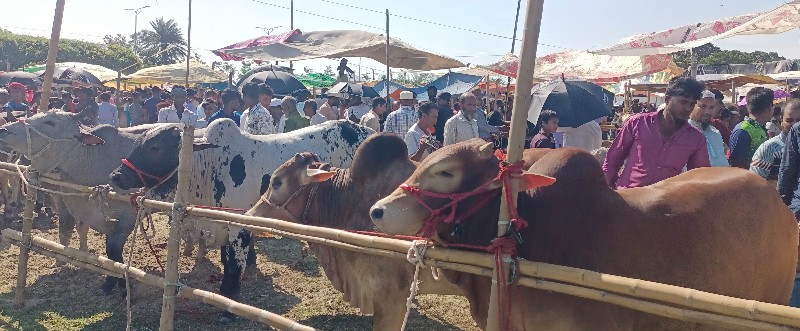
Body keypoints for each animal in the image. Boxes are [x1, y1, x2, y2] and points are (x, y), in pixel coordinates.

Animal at [0, 111, 175, 296]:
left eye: (50, 122)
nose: (4, 130)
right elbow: (110, 256)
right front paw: (109, 283)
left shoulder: (129, 217)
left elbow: (113, 250)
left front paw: (121, 285)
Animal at [108, 120, 374, 324]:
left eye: (156, 147)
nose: (116, 176)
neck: (210, 166)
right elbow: (227, 261)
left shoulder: (239, 227)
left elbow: (234, 266)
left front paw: (229, 308)